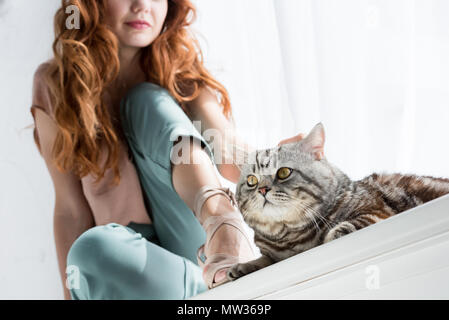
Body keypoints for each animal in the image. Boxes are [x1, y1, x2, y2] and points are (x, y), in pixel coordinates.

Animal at [228, 122, 448, 280]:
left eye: (283, 172)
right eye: (252, 181)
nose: (263, 189)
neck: (292, 238)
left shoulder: (377, 211)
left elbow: (351, 224)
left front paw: (331, 235)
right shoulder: (273, 253)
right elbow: (265, 258)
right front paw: (244, 266)